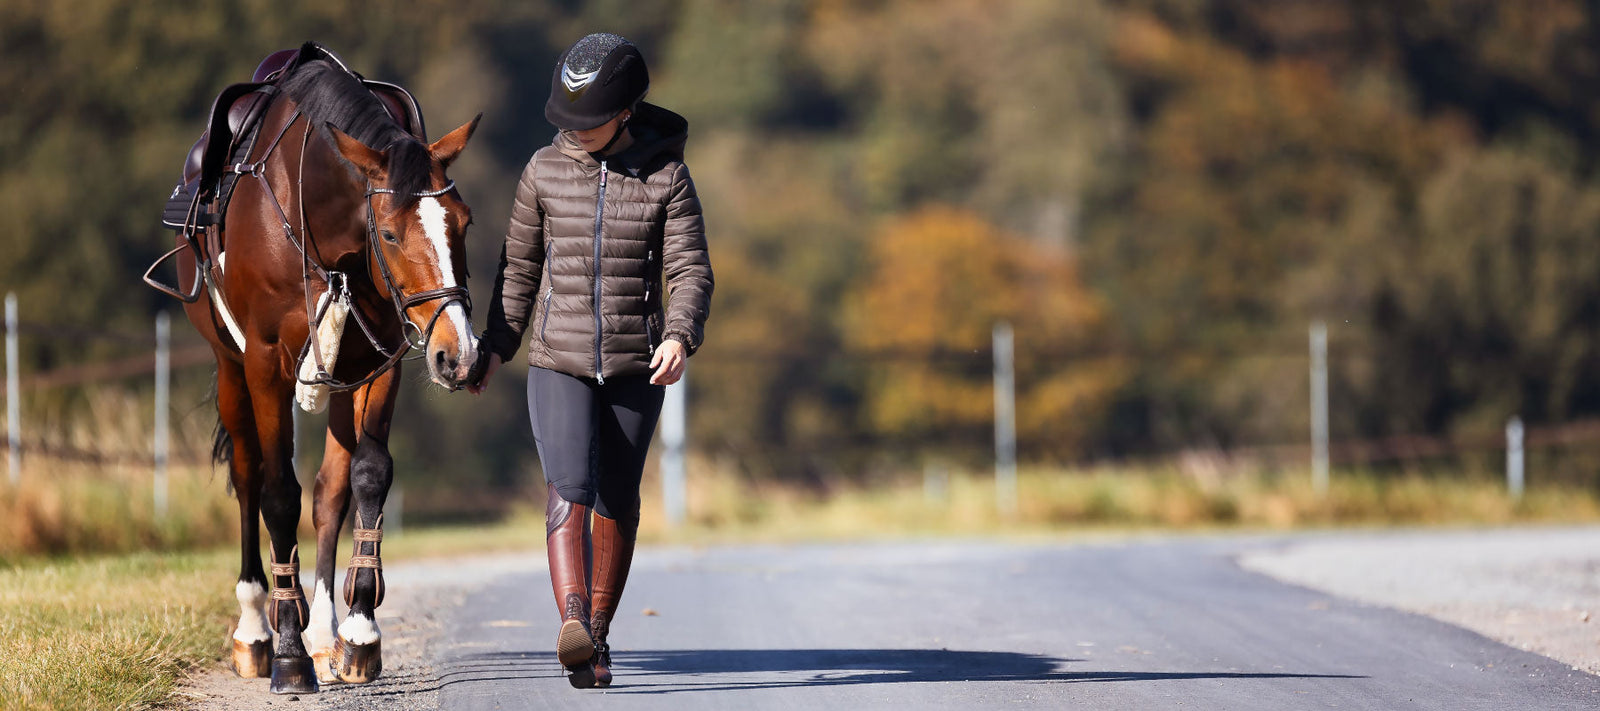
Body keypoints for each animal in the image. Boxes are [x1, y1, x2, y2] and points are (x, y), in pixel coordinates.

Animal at [161, 51, 480, 693]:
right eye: (389, 231)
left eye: (464, 223)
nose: (457, 354)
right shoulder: (264, 364)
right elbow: (277, 492)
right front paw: (287, 650)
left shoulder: (380, 361)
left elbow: (366, 477)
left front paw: (358, 630)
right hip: (230, 367)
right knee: (248, 475)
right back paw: (258, 628)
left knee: (331, 489)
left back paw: (324, 628)